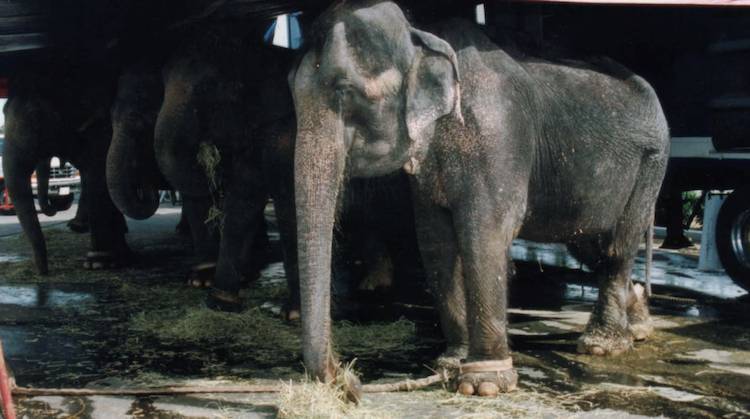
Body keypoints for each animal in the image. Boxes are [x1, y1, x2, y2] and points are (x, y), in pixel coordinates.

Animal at [2, 55, 130, 274]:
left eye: (37, 120)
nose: (44, 273)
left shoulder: (102, 128)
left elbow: (98, 175)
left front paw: (99, 263)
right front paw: (119, 256)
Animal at [289, 0, 669, 399]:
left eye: (344, 91)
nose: (348, 379)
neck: (420, 34)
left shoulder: (498, 134)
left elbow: (484, 231)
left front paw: (483, 382)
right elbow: (435, 239)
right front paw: (450, 363)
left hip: (652, 161)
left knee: (617, 246)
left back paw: (603, 345)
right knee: (589, 244)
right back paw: (638, 324)